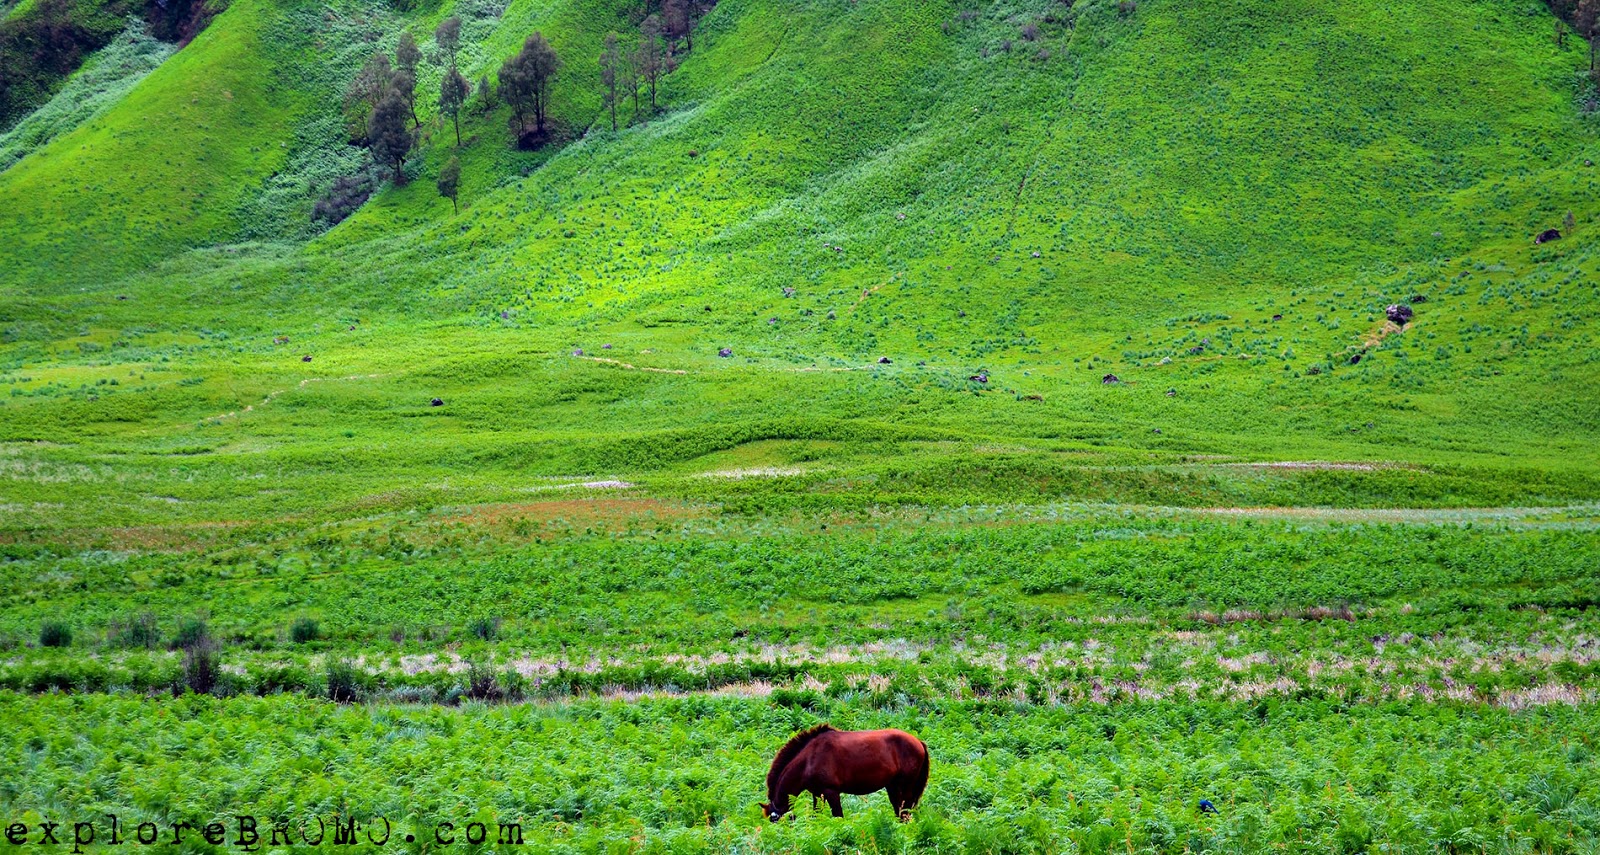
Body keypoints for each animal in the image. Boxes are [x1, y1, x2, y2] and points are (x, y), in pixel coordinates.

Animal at [758, 723, 934, 826]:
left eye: (774, 819)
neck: (810, 758)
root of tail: (919, 742)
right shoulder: (817, 794)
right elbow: (817, 815)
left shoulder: (831, 792)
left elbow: (838, 817)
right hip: (893, 787)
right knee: (899, 809)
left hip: (905, 787)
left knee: (905, 810)